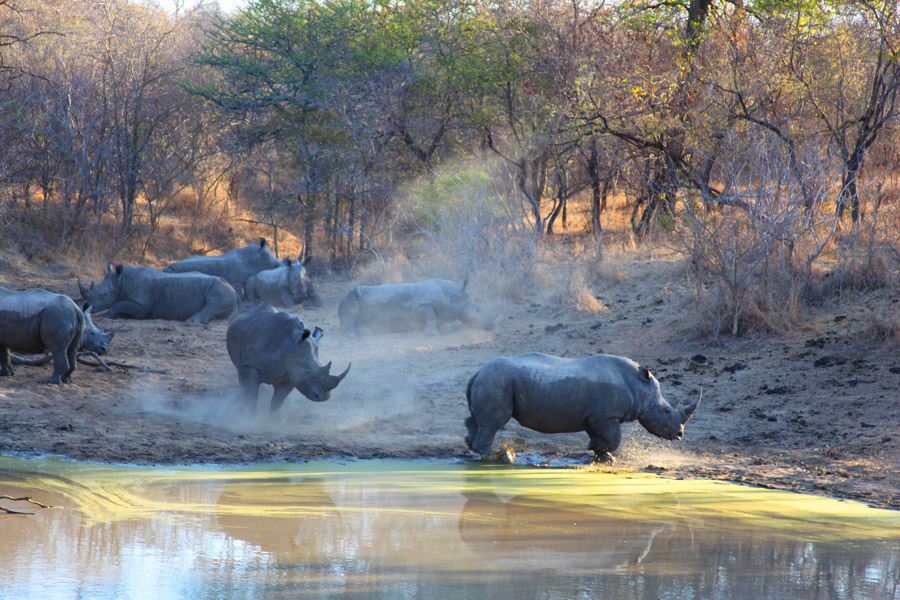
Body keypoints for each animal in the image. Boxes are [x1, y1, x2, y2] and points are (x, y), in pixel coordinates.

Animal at [338, 278, 492, 336]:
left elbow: (449, 323)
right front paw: (432, 333)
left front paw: (446, 328)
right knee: (350, 311)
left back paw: (367, 332)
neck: (453, 297)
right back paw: (352, 337)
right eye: (478, 310)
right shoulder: (418, 306)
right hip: (349, 297)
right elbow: (430, 315)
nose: (490, 325)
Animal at [468, 354, 700, 462]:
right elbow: (615, 438)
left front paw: (603, 456)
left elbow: (601, 436)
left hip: (493, 380)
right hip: (498, 380)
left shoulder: (593, 416)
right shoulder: (606, 415)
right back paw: (493, 456)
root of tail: (478, 371)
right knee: (493, 423)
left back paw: (472, 446)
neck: (639, 385)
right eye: (666, 411)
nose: (679, 434)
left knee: (478, 421)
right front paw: (598, 450)